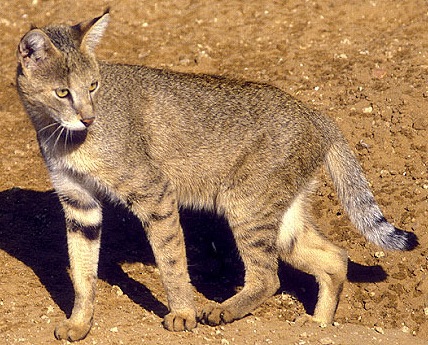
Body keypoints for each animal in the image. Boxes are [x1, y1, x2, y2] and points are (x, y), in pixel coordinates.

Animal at [15, 10, 418, 342]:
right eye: (62, 92)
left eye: (94, 86)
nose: (88, 118)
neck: (61, 136)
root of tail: (313, 112)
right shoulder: (79, 205)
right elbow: (82, 273)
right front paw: (80, 323)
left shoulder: (155, 193)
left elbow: (171, 261)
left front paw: (182, 314)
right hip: (282, 220)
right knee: (336, 257)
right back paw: (319, 324)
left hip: (247, 206)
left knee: (269, 276)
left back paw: (225, 310)